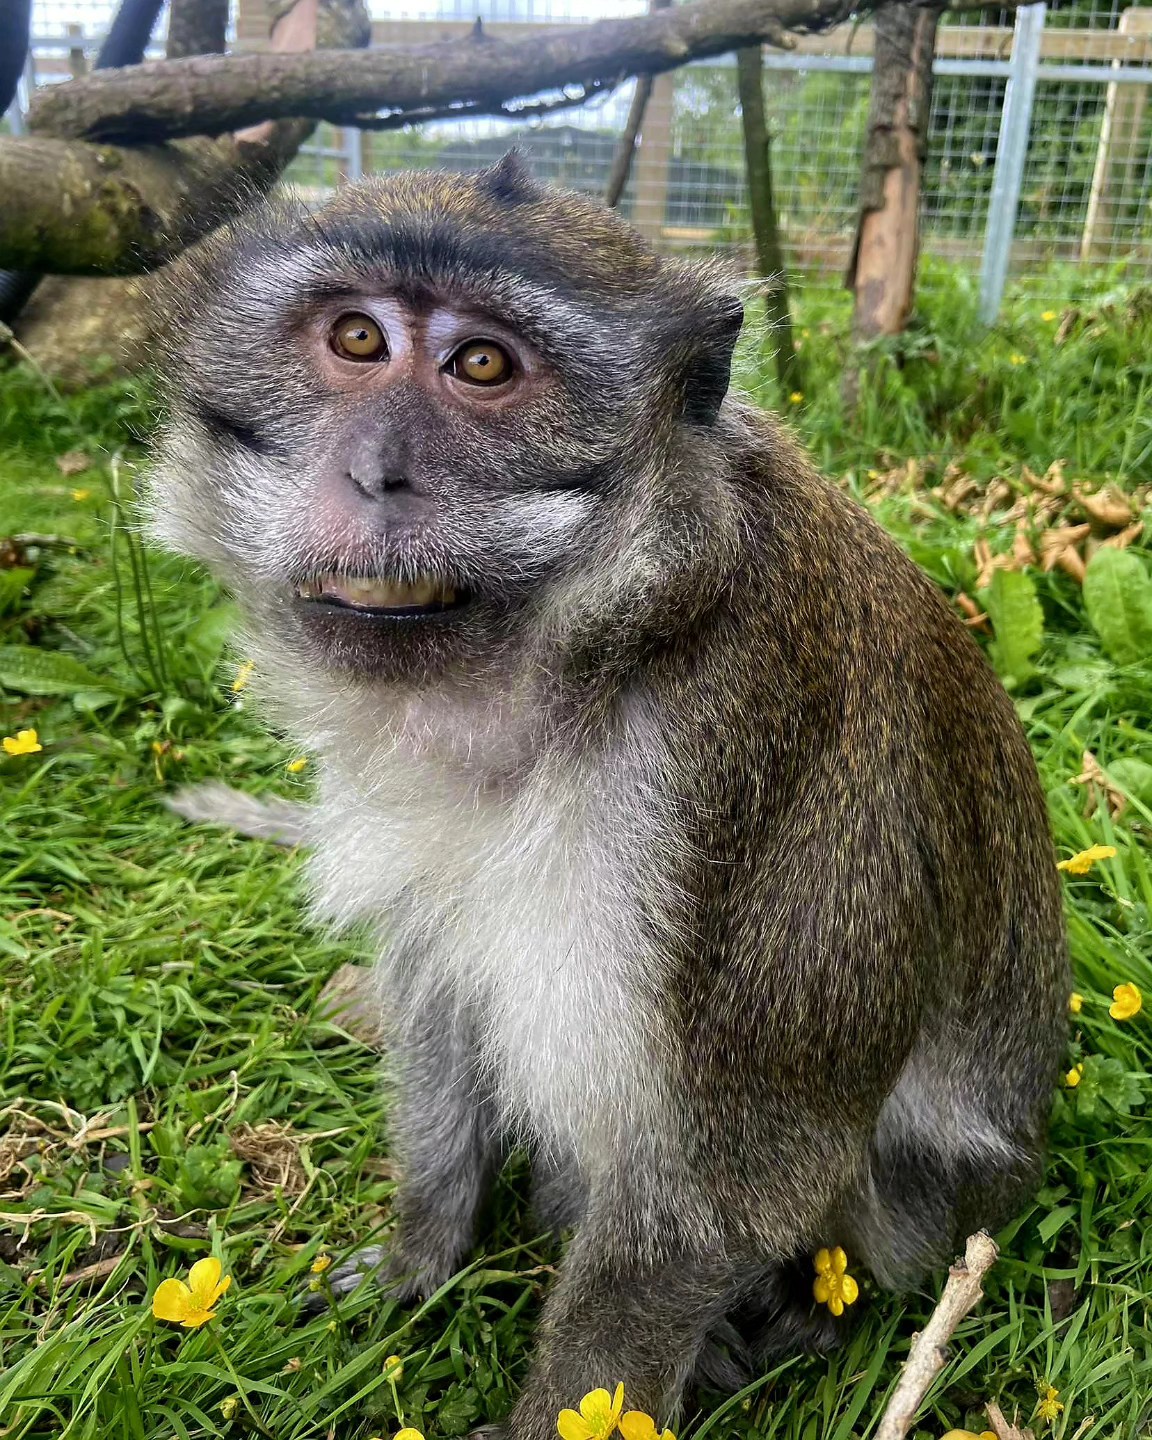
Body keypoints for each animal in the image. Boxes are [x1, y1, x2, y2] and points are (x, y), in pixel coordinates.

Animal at [146, 154, 1069, 1437]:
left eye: (484, 366)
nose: (376, 471)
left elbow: (723, 1179)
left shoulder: (721, 755)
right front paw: (420, 1256)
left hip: (918, 1213)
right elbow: (439, 989)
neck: (586, 643)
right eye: (355, 338)